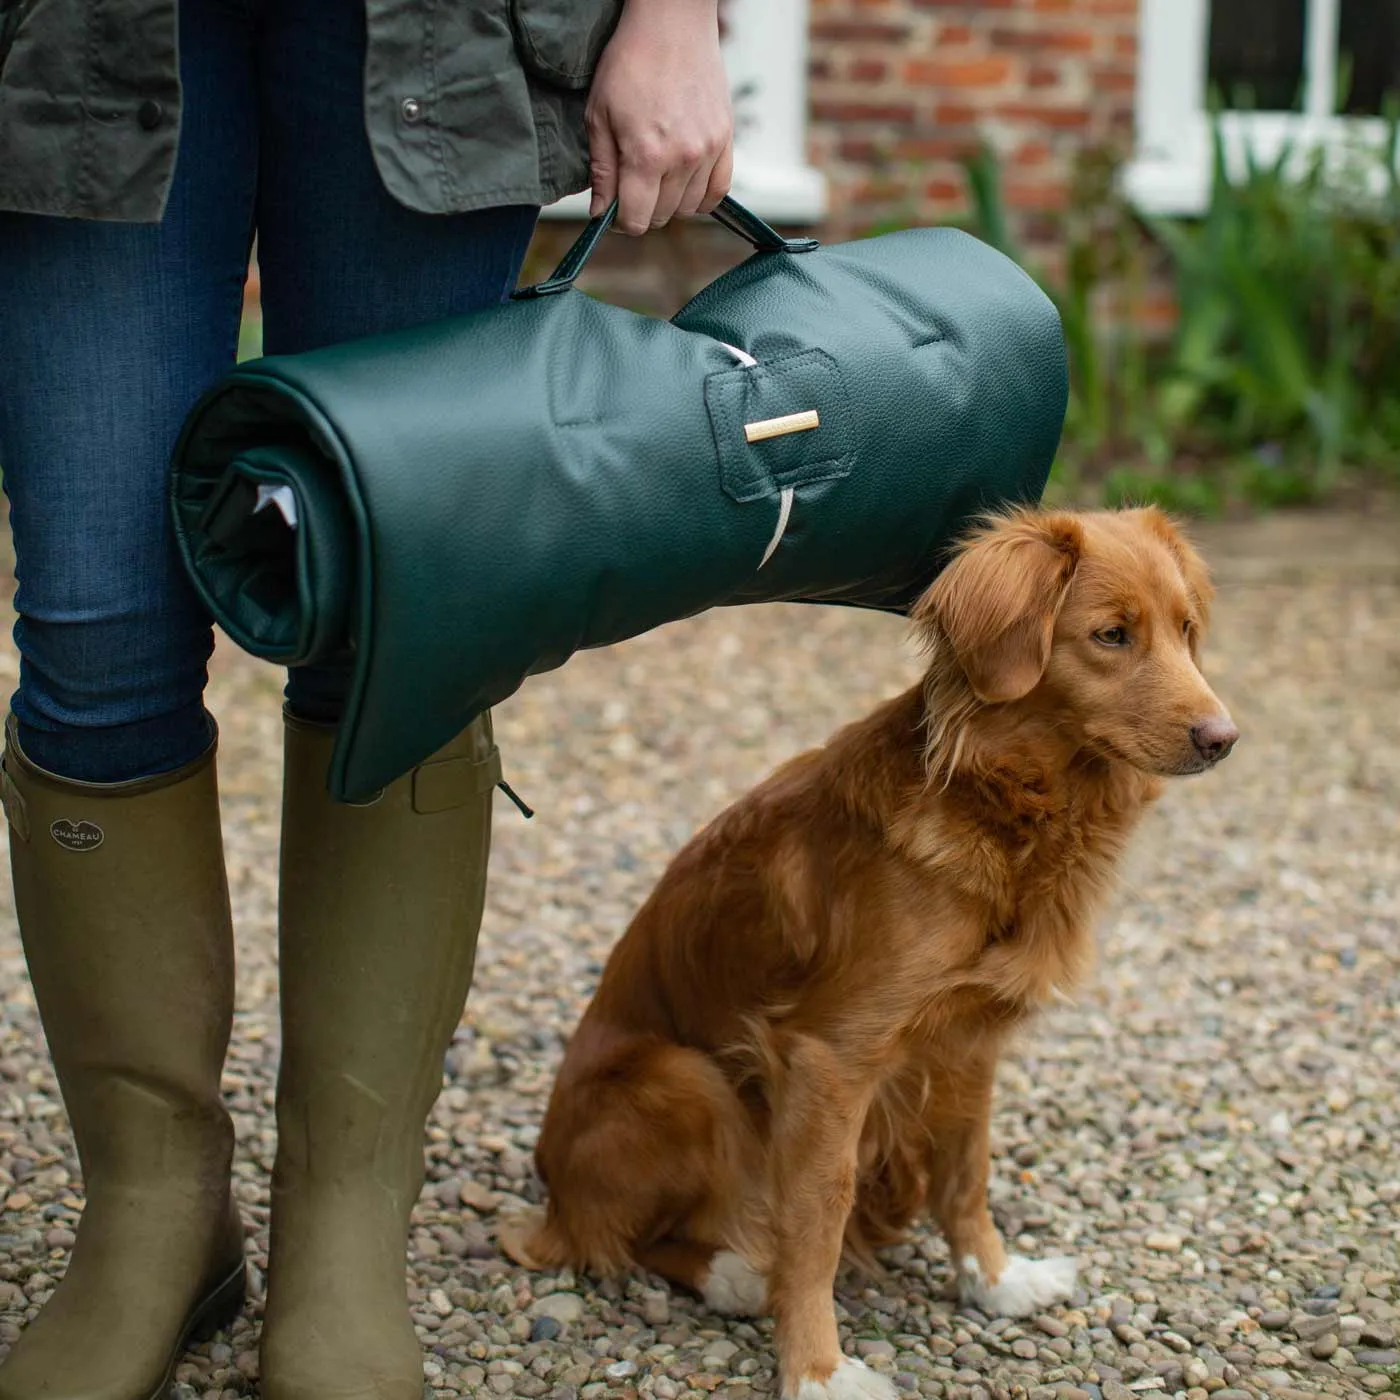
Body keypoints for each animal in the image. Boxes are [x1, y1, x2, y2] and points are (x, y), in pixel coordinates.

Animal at [501, 509, 1237, 1400]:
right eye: (1112, 635)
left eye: (1186, 631)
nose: (1224, 739)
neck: (1010, 806)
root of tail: (552, 1195)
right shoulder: (830, 1057)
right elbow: (818, 1215)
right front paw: (817, 1369)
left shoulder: (968, 1042)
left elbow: (967, 1174)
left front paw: (995, 1282)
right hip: (687, 1079)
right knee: (618, 1237)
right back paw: (734, 1275)